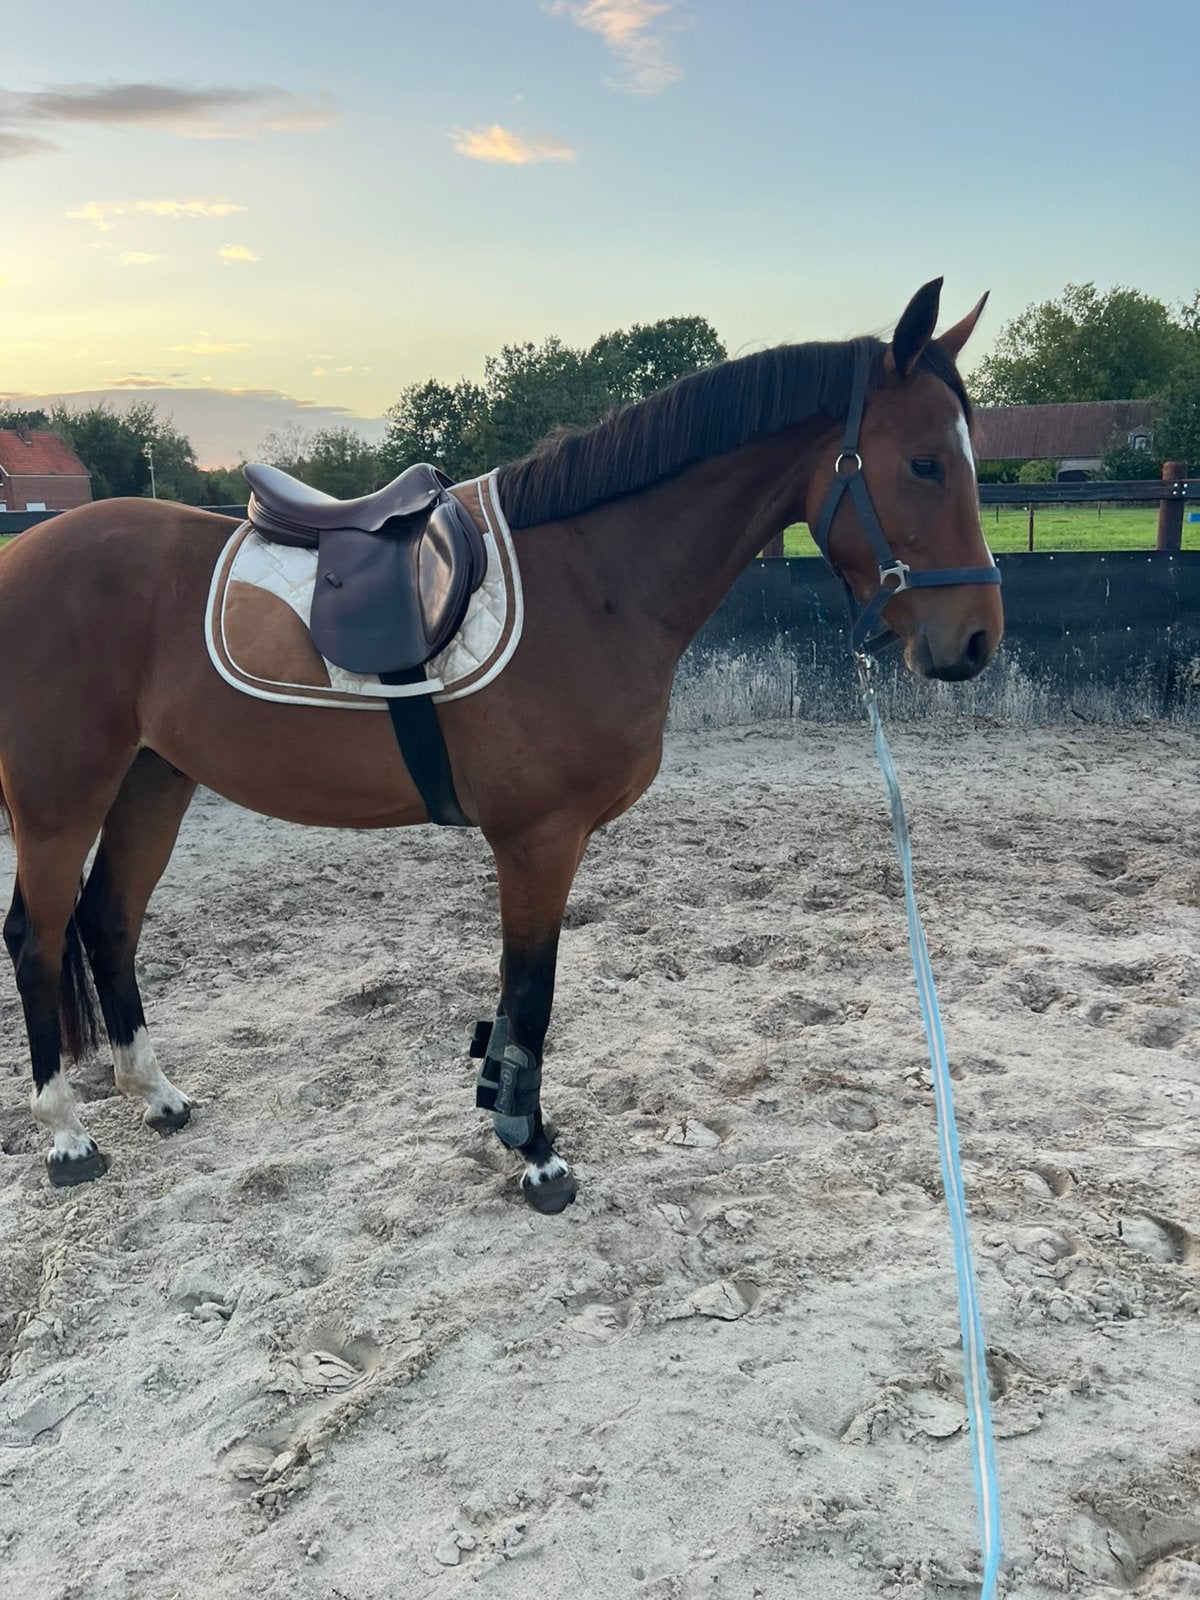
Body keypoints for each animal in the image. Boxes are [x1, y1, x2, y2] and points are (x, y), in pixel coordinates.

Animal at [0, 279, 1002, 1213]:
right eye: (923, 463)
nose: (976, 641)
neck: (590, 579)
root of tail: (22, 557)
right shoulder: (537, 840)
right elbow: (530, 999)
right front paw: (534, 1151)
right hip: (59, 800)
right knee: (37, 937)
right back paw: (67, 1136)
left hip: (152, 779)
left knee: (110, 920)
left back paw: (155, 1093)